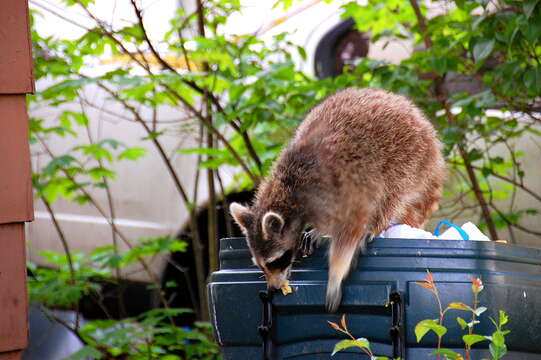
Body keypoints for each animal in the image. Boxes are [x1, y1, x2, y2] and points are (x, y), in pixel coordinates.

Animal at [230, 88, 446, 312]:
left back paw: (378, 223)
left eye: (275, 261)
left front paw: (336, 273)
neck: (289, 190)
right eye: (260, 265)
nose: (272, 288)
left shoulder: (342, 186)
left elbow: (351, 227)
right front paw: (320, 231)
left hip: (407, 153)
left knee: (392, 192)